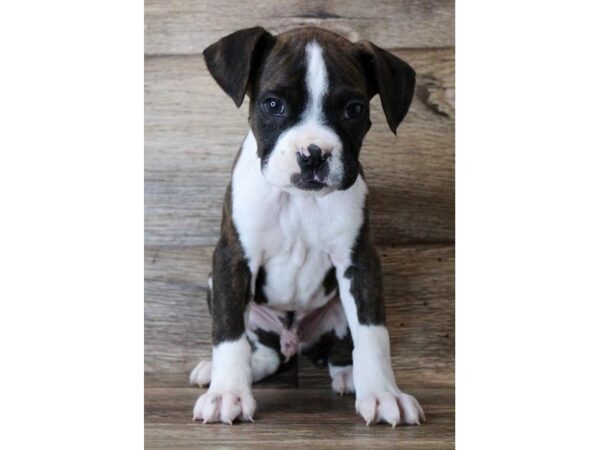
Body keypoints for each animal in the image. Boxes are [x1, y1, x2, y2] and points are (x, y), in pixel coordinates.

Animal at [190, 26, 424, 428]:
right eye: (273, 105)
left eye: (354, 109)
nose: (313, 154)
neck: (299, 200)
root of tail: (293, 341)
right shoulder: (232, 260)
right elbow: (228, 331)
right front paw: (227, 393)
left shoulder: (360, 262)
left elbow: (373, 334)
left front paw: (383, 393)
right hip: (220, 290)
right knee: (263, 352)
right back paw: (229, 371)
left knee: (341, 349)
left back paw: (350, 375)